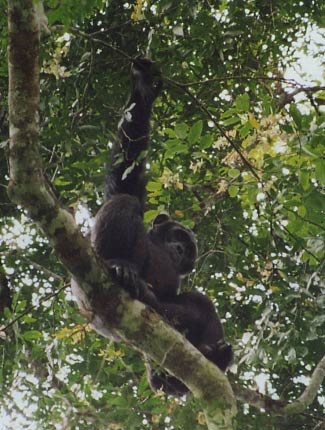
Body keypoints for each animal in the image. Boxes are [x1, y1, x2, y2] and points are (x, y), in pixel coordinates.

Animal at [90, 58, 230, 396]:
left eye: (188, 253)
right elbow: (127, 174)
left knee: (198, 304)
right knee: (125, 203)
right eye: (179, 237)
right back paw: (119, 266)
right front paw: (143, 90)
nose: (179, 249)